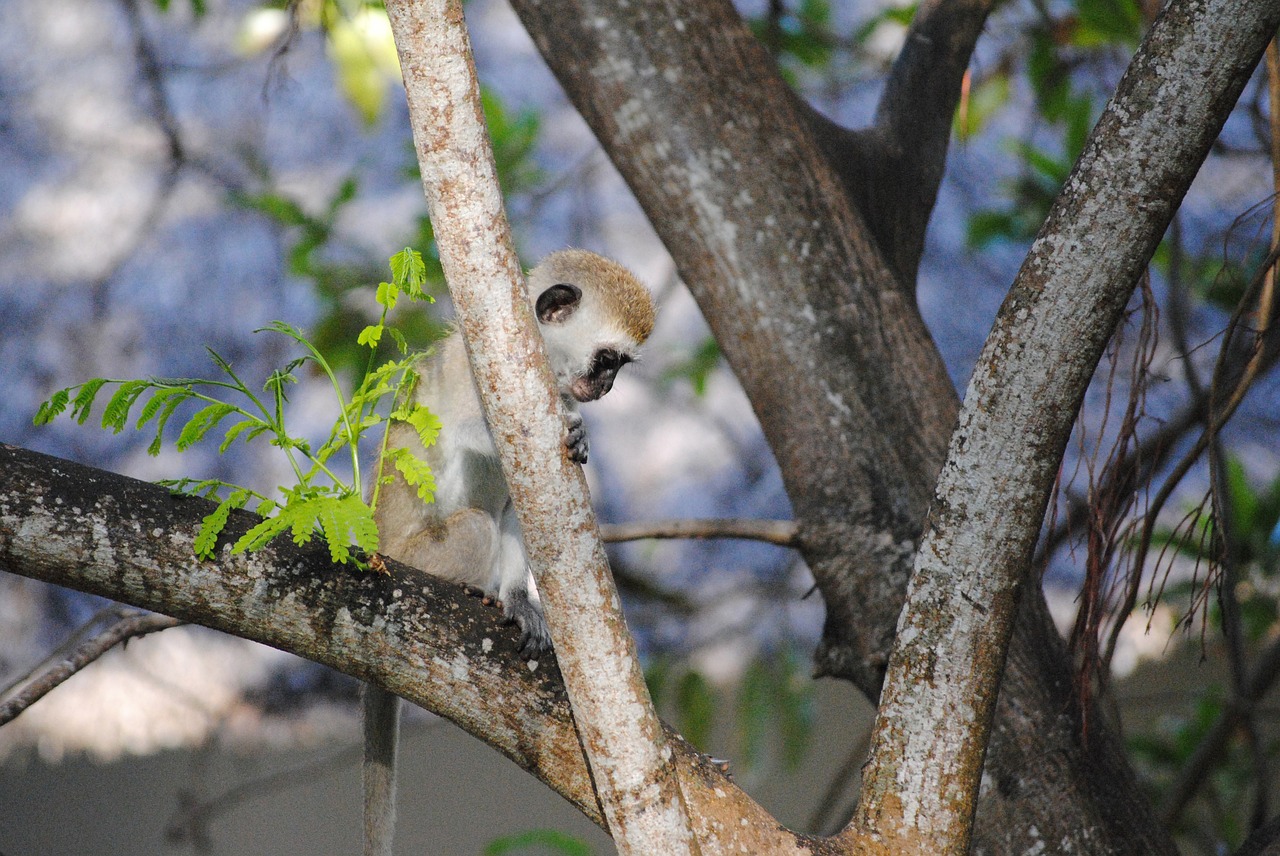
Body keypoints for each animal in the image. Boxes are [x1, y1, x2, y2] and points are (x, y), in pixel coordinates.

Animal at [363, 246, 655, 854]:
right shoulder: (474, 369)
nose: (607, 388)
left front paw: (520, 599)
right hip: (412, 555)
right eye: (607, 359)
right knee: (477, 527)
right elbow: (466, 430)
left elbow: (524, 505)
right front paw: (570, 426)